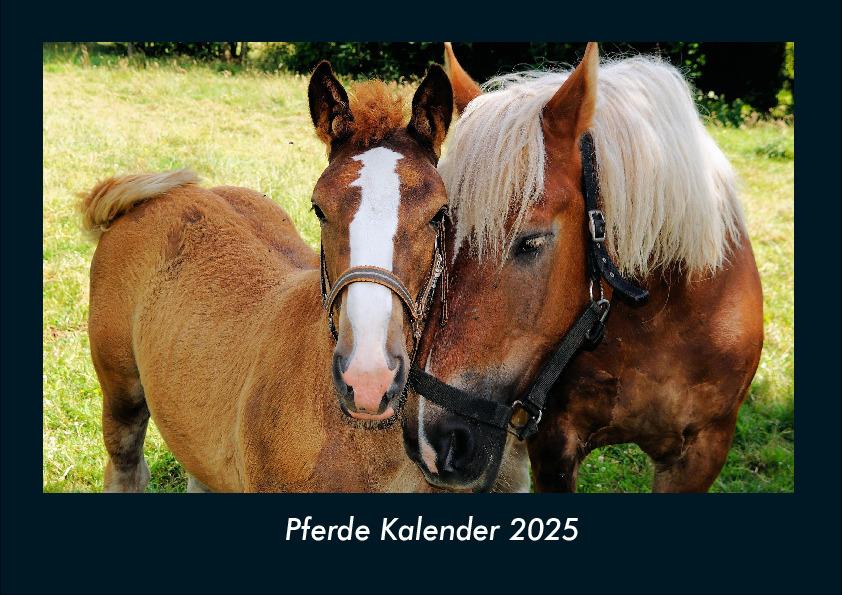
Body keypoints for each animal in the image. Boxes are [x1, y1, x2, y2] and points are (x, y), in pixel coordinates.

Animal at [403, 43, 764, 492]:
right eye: (439, 229)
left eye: (532, 242)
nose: (428, 439)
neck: (655, 318)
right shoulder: (554, 445)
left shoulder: (702, 452)